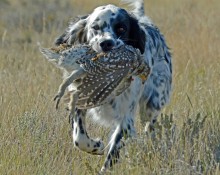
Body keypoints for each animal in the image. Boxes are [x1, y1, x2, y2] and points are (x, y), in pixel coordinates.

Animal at [52, 0, 172, 172]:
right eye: (95, 27)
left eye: (122, 28)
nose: (106, 43)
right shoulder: (80, 100)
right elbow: (79, 138)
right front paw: (97, 146)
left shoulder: (125, 121)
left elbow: (112, 154)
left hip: (153, 104)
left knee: (149, 127)